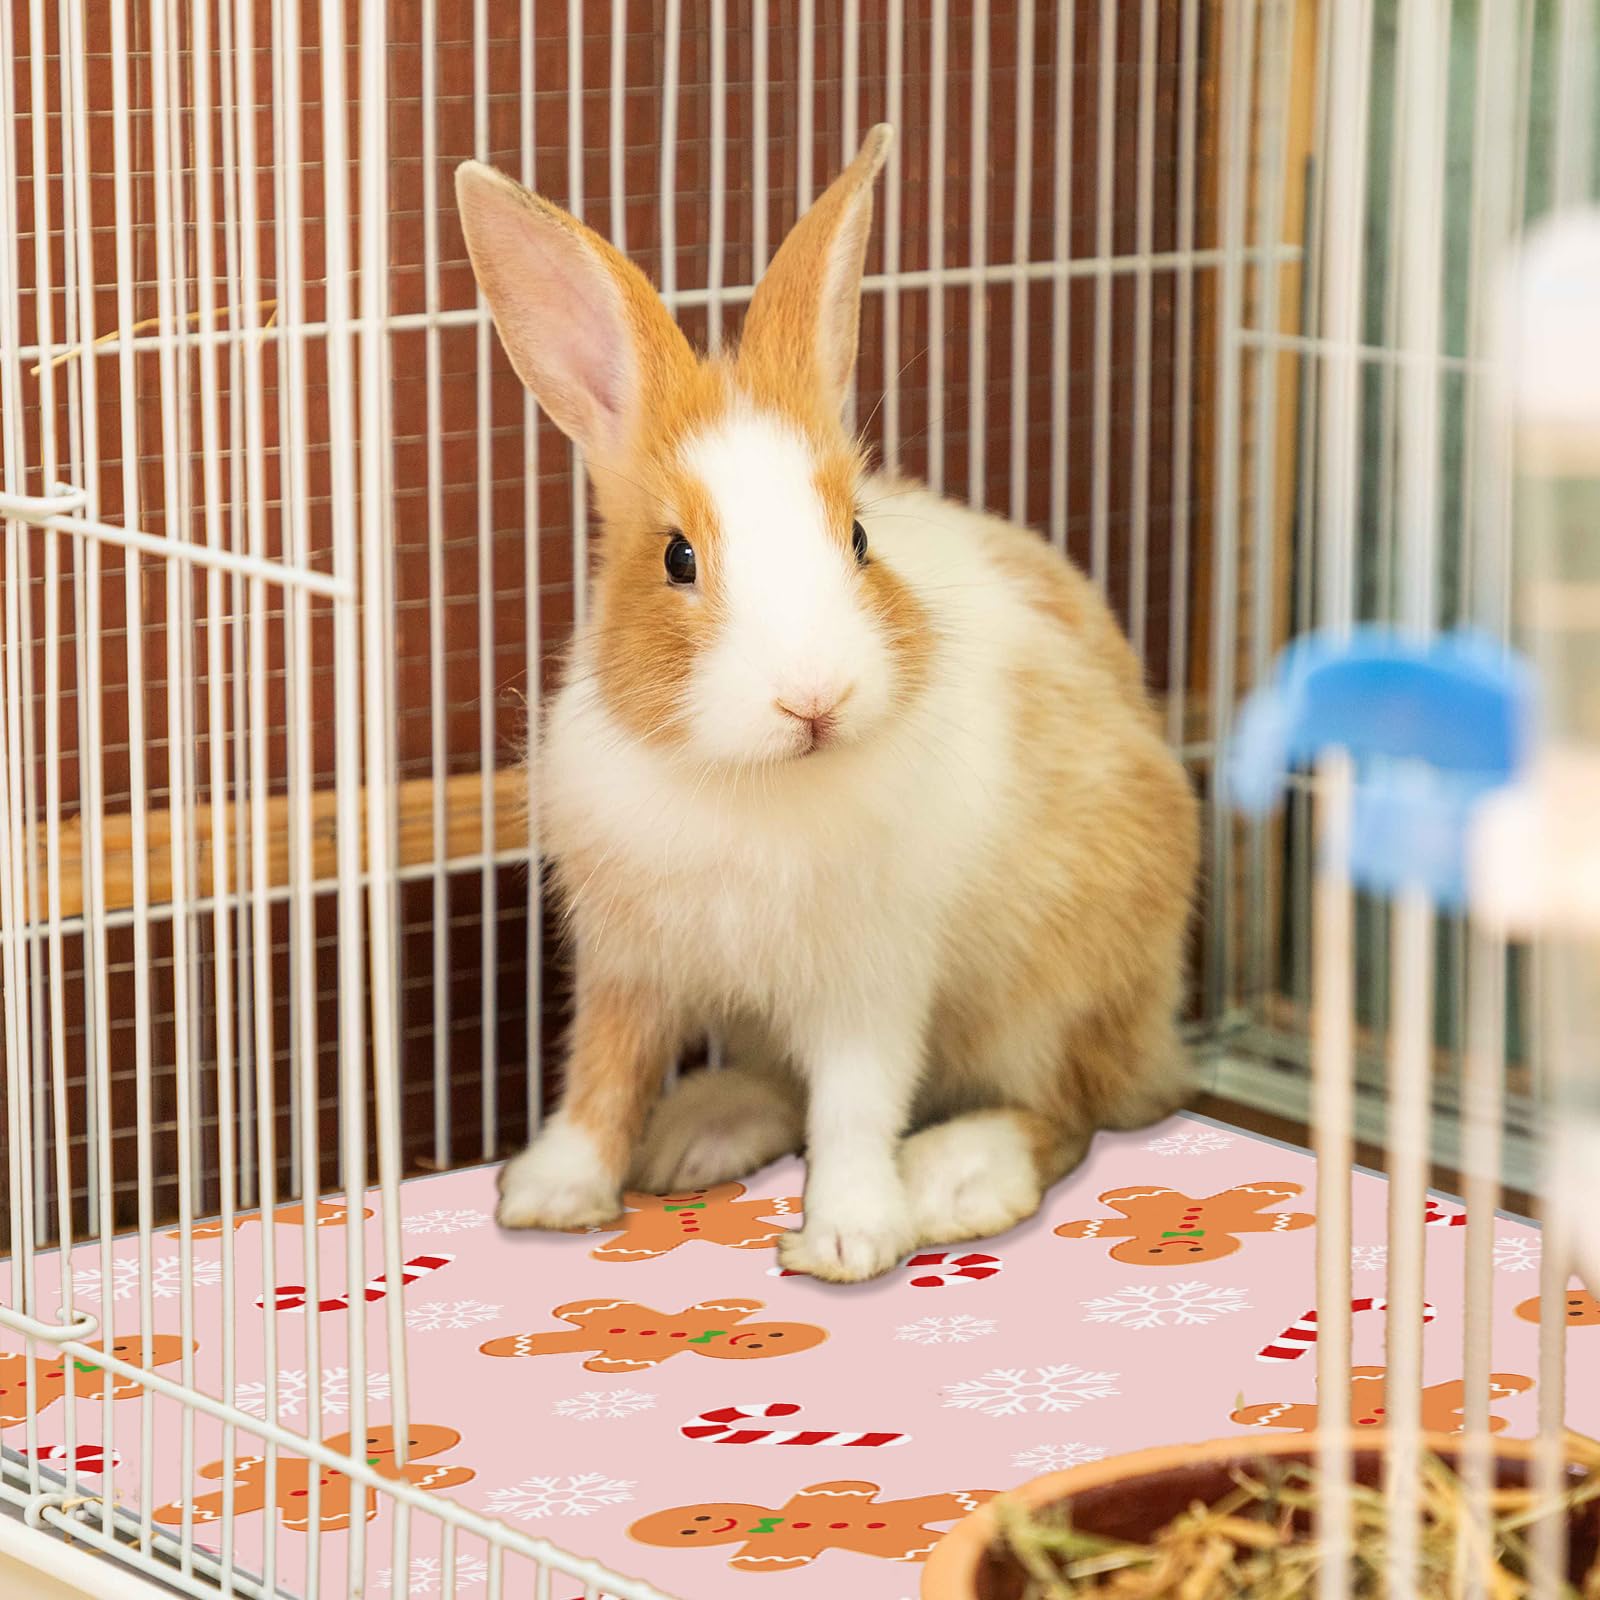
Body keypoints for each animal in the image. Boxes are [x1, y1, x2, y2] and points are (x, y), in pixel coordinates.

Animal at [454, 123, 1200, 1283]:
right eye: (676, 558)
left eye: (857, 538)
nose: (815, 698)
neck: (748, 779)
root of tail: (1159, 1036)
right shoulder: (630, 966)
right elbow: (602, 1072)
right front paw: (549, 1195)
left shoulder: (869, 978)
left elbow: (855, 1104)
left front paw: (850, 1237)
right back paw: (697, 1131)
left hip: (1058, 992)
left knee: (1065, 1112)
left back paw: (953, 1178)